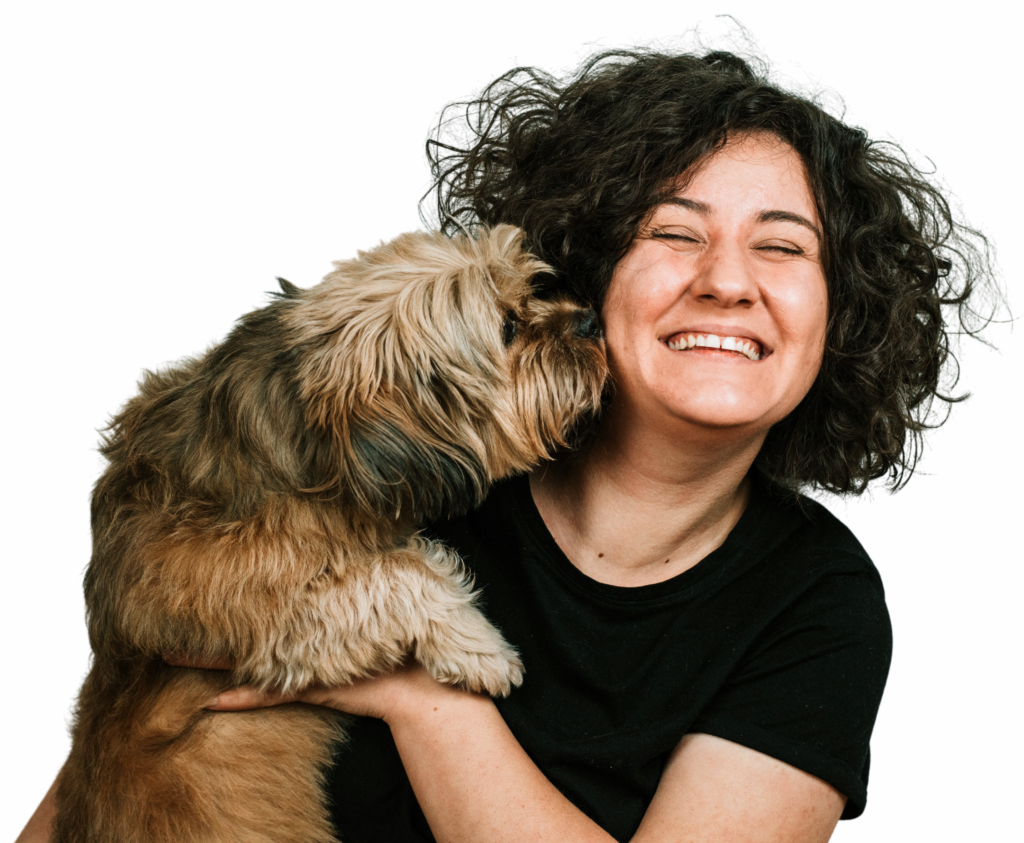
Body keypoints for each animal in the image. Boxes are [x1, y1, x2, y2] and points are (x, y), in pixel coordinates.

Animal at [52, 224, 607, 842]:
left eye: (533, 290)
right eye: (508, 328)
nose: (590, 320)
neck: (313, 446)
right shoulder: (238, 601)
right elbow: (398, 571)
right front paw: (480, 647)